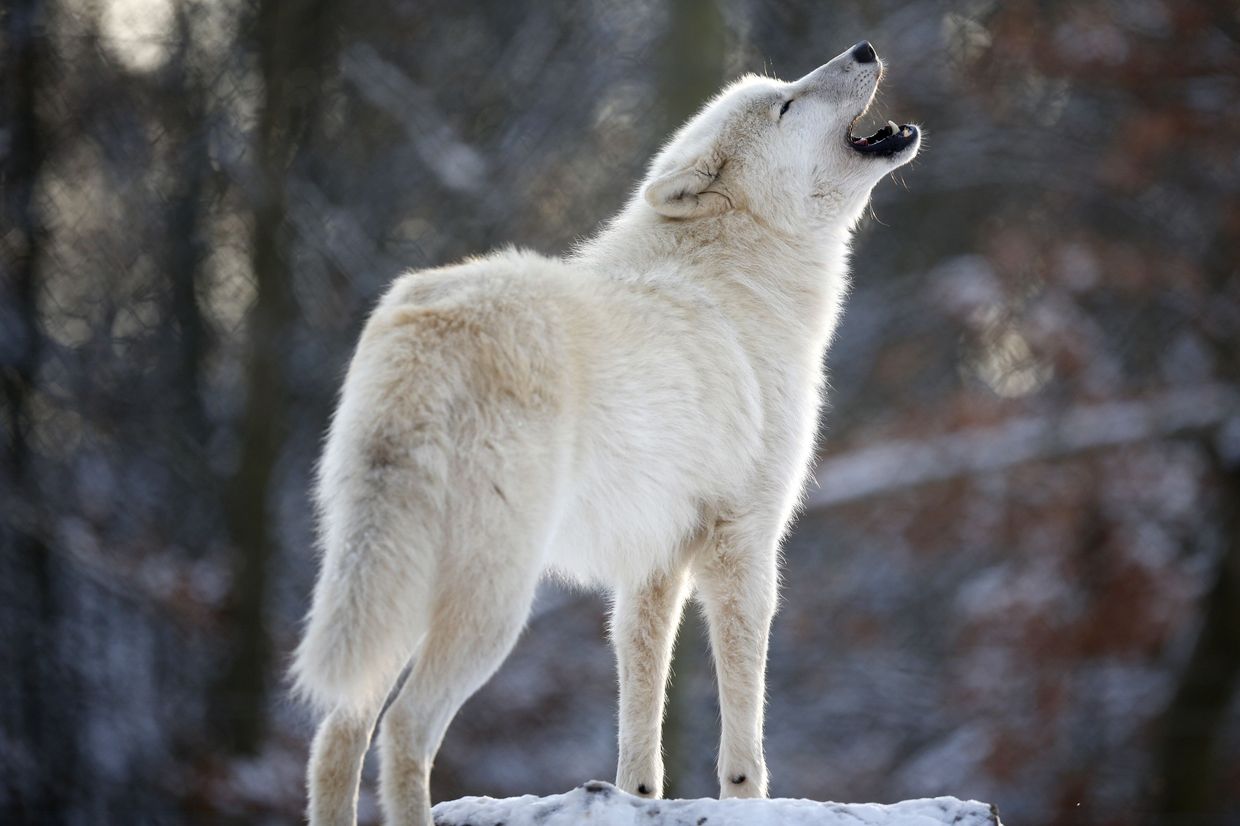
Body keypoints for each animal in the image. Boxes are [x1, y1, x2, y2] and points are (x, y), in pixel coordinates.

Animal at [293, 40, 920, 826]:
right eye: (786, 104)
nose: (864, 48)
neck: (742, 278)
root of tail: (427, 328)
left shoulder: (652, 560)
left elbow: (640, 704)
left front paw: (635, 797)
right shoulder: (743, 543)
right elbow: (744, 721)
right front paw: (746, 798)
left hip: (395, 586)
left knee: (336, 734)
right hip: (493, 602)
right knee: (404, 728)